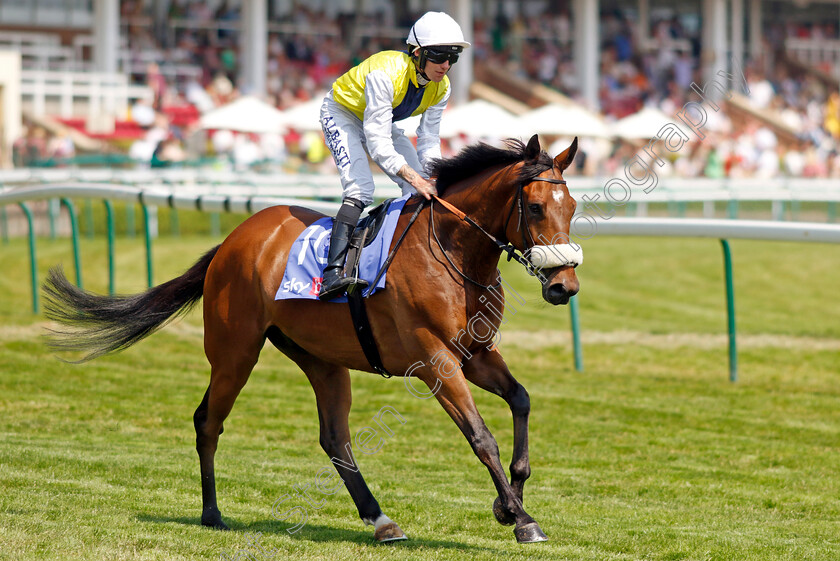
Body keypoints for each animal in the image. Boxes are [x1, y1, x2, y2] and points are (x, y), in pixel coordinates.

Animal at [42, 135, 580, 544]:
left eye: (573, 206)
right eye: (535, 207)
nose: (564, 286)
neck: (453, 252)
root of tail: (234, 239)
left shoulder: (476, 354)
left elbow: (521, 399)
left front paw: (508, 503)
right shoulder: (434, 360)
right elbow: (481, 436)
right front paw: (523, 520)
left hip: (323, 359)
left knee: (335, 438)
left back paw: (380, 520)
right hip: (235, 352)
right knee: (208, 421)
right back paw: (212, 513)